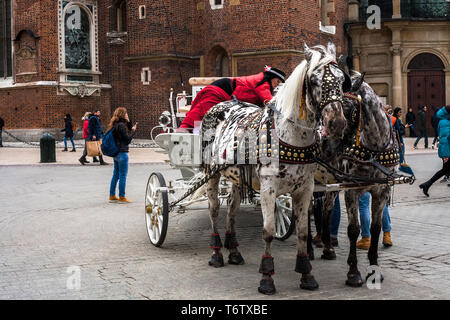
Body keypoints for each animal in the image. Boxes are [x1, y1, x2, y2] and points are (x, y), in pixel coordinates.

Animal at [200, 43, 352, 296]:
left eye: (342, 81)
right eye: (314, 81)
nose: (336, 124)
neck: (290, 137)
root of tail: (223, 103)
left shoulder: (305, 189)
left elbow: (302, 231)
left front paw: (307, 273)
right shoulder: (269, 189)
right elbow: (269, 231)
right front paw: (266, 278)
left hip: (235, 177)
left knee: (231, 208)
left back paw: (234, 252)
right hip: (211, 174)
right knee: (214, 210)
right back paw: (216, 253)